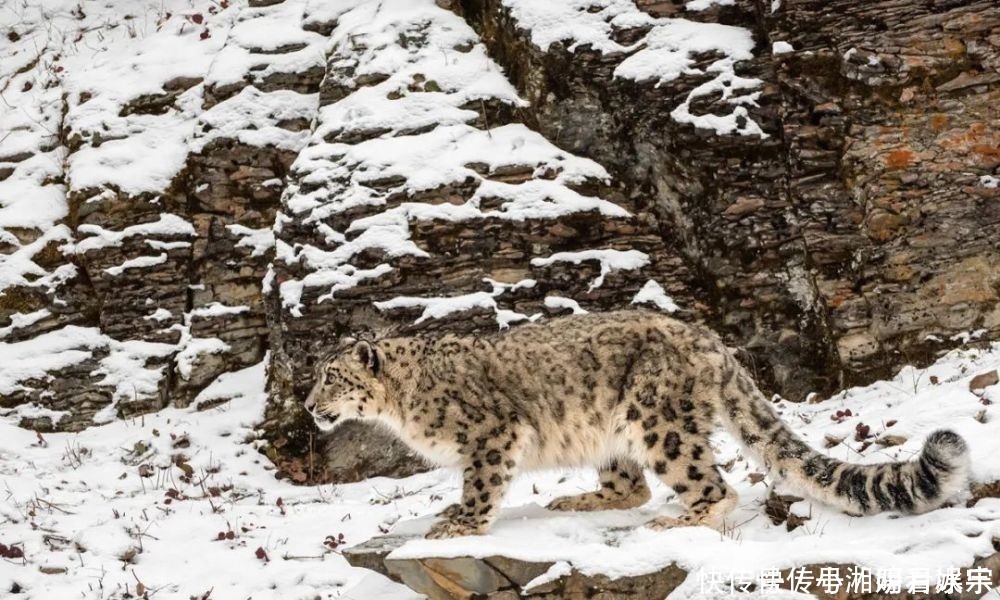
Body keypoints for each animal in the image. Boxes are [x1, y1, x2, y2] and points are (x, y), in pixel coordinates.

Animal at [302, 310, 968, 540]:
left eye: (331, 377)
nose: (309, 404)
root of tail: (710, 340)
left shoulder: (490, 436)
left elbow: (482, 484)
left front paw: (459, 524)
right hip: (610, 432)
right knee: (631, 485)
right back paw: (577, 500)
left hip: (658, 419)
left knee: (710, 485)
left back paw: (679, 521)